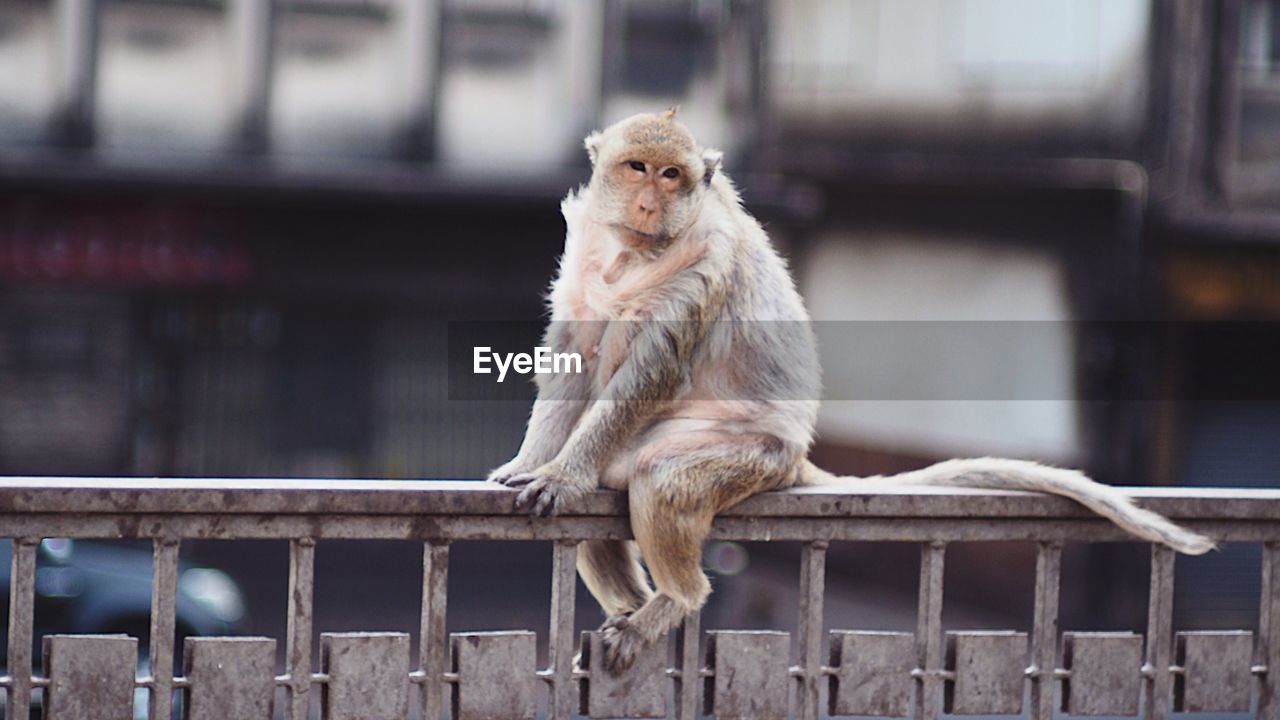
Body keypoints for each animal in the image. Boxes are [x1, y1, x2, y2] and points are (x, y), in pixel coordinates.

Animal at [486, 106, 1208, 671]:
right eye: (636, 167)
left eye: (672, 176)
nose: (648, 200)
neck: (637, 251)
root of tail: (796, 456)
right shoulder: (586, 261)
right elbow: (577, 354)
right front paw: (534, 462)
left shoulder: (704, 267)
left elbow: (648, 375)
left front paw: (564, 473)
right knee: (604, 511)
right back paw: (638, 606)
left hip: (749, 457)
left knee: (660, 479)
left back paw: (673, 601)